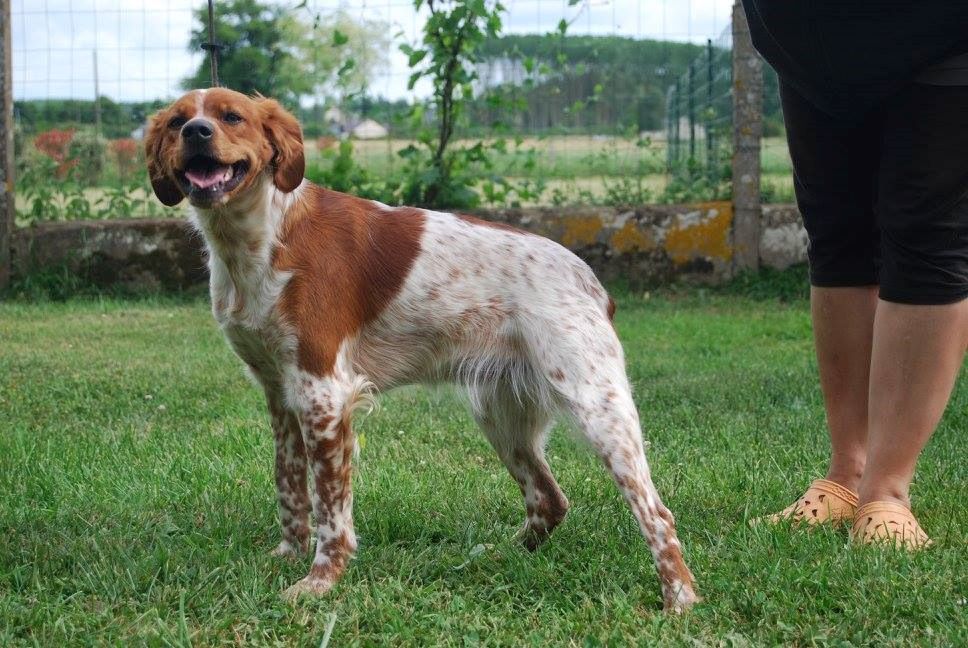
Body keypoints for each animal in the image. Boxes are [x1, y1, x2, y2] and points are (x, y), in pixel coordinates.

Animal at [144, 87, 700, 612]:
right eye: (177, 121)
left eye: (231, 116)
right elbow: (289, 487)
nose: (196, 132)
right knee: (550, 499)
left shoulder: (325, 393)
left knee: (655, 513)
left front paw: (320, 582)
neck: (260, 236)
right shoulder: (281, 394)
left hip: (597, 408)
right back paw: (495, 558)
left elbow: (331, 511)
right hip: (500, 416)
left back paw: (679, 599)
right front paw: (287, 555)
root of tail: (592, 281)